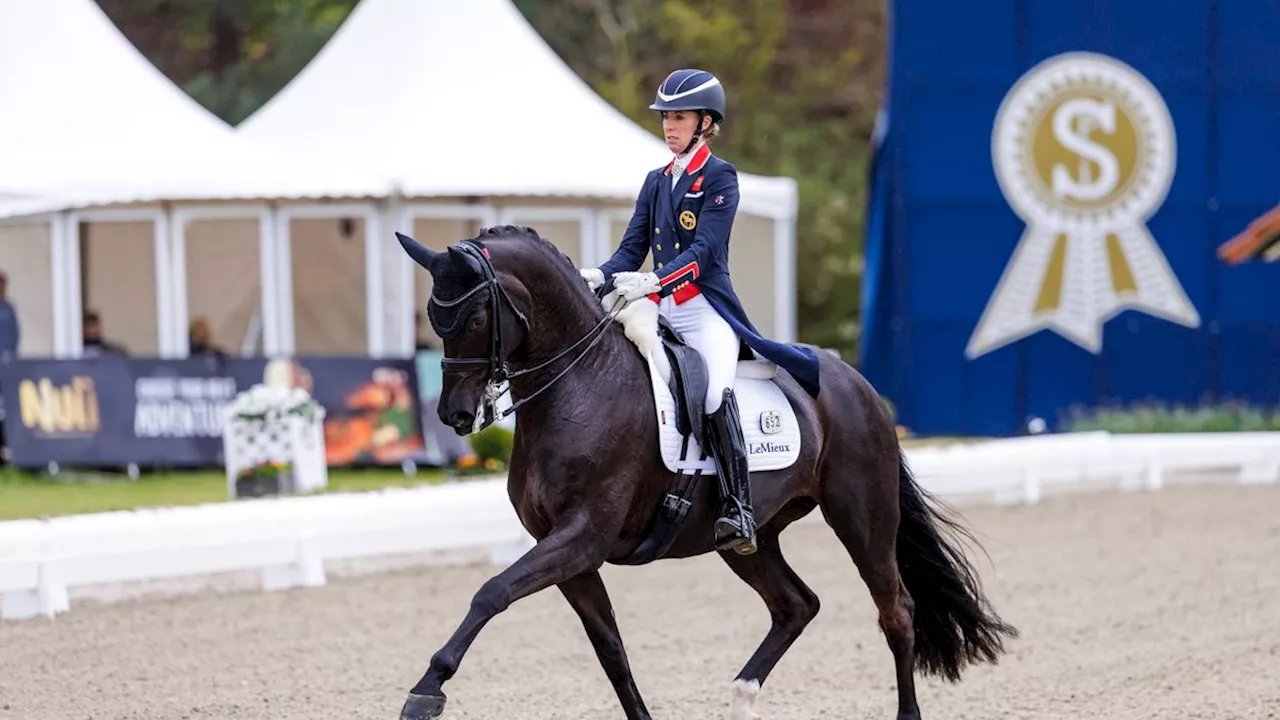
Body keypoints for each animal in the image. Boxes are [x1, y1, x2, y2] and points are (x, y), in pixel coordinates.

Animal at [394, 225, 1013, 717]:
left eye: (476, 316)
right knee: (796, 605)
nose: (455, 415)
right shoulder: (567, 551)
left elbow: (490, 593)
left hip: (862, 517)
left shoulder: (582, 537)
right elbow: (610, 650)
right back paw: (741, 695)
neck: (580, 385)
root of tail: (854, 381)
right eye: (432, 317)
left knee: (896, 612)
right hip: (748, 539)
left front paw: (427, 690)